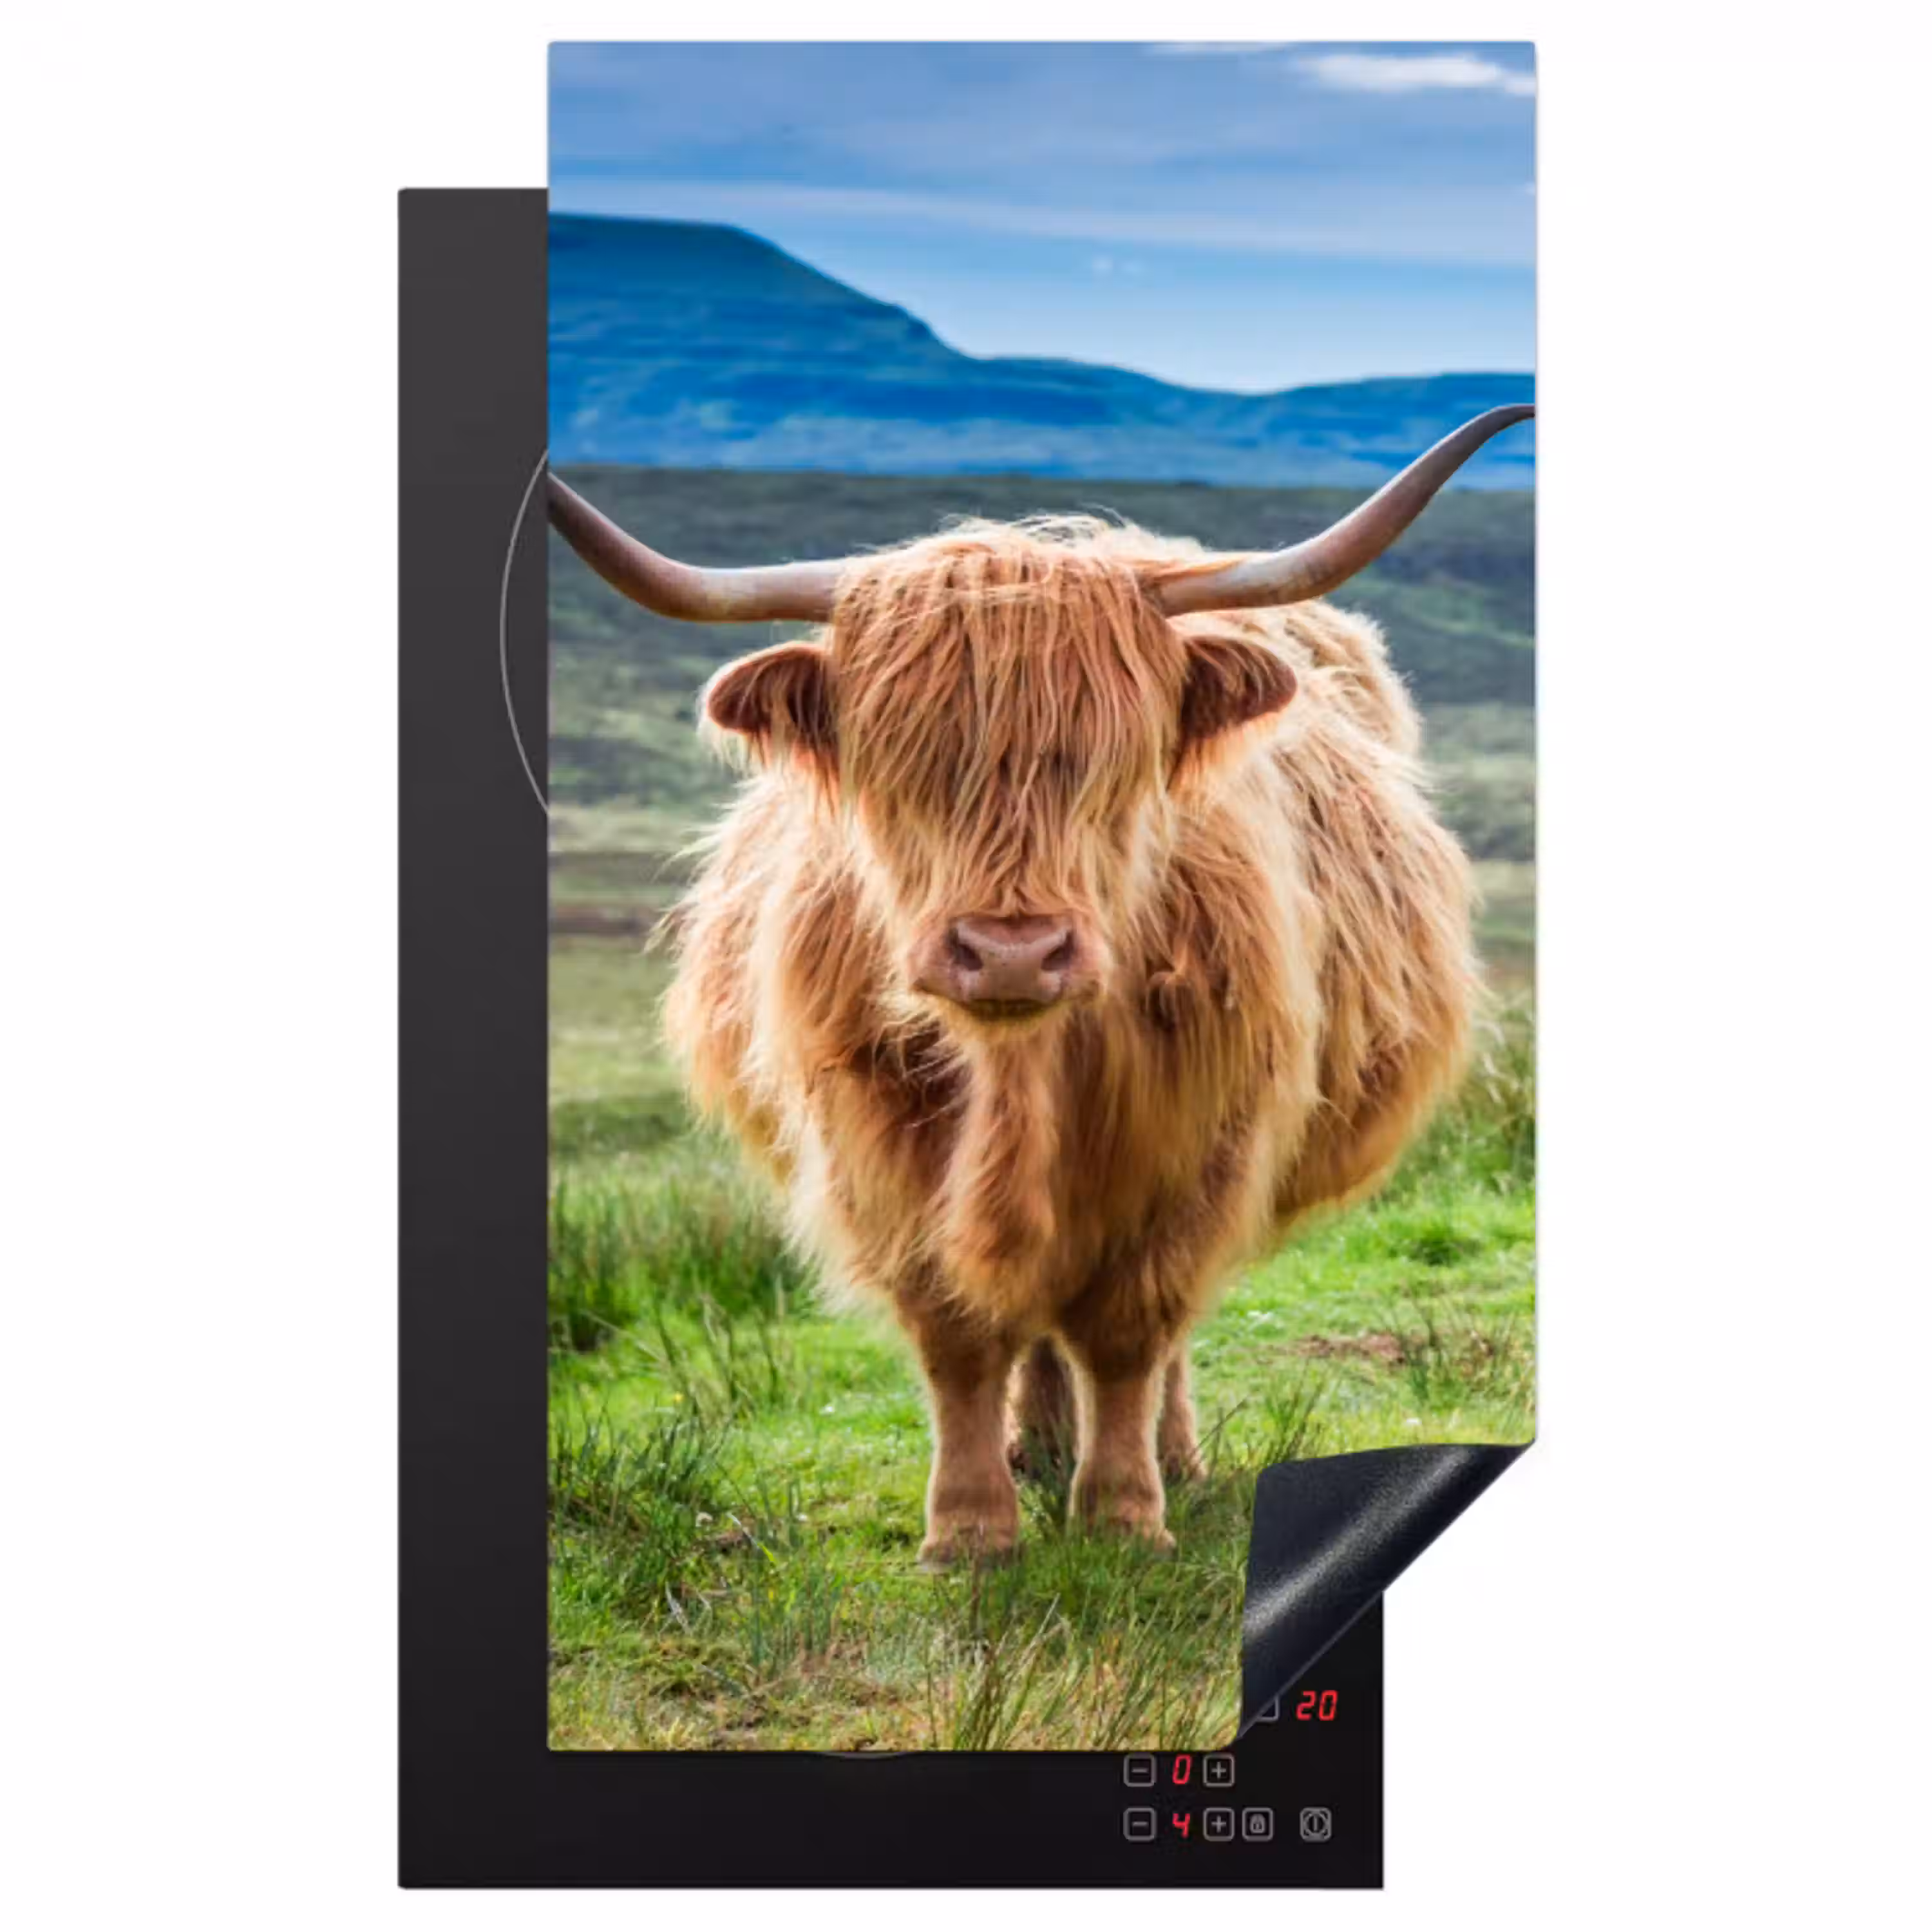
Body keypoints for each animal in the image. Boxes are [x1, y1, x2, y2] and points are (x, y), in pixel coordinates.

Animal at [549, 406, 1532, 1568]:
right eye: (901, 765)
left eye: (1114, 761)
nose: (1012, 953)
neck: (1020, 1068)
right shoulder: (878, 1144)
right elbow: (960, 1331)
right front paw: (970, 1529)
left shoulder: (1199, 1140)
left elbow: (1131, 1328)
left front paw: (1121, 1515)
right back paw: (1040, 1447)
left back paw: (1165, 1456)